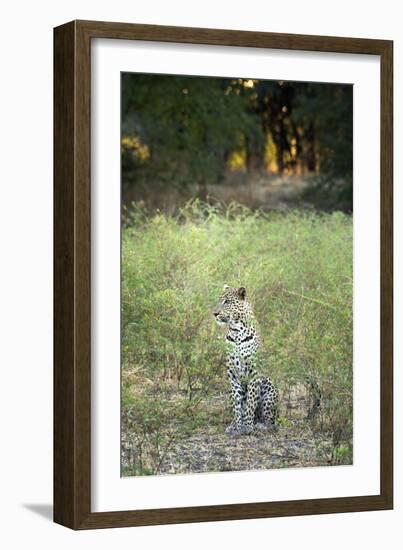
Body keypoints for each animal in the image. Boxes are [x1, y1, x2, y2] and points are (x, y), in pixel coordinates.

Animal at [215, 286, 278, 438]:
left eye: (227, 302)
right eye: (219, 301)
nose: (215, 313)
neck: (236, 331)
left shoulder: (254, 373)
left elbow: (250, 401)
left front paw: (247, 426)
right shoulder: (233, 374)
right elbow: (238, 404)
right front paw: (238, 426)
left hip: (269, 387)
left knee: (270, 421)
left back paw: (260, 425)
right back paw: (233, 424)